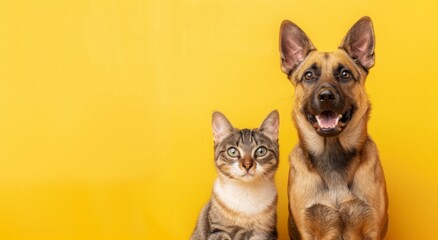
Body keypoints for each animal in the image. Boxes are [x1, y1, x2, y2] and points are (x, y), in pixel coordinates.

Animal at [192, 110, 280, 240]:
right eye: (232, 152)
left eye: (261, 151)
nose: (247, 165)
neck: (246, 192)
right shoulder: (219, 230)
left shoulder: (264, 231)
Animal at [278, 15, 388, 239]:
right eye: (309, 76)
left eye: (345, 74)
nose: (326, 96)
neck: (332, 152)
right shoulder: (308, 229)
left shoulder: (372, 228)